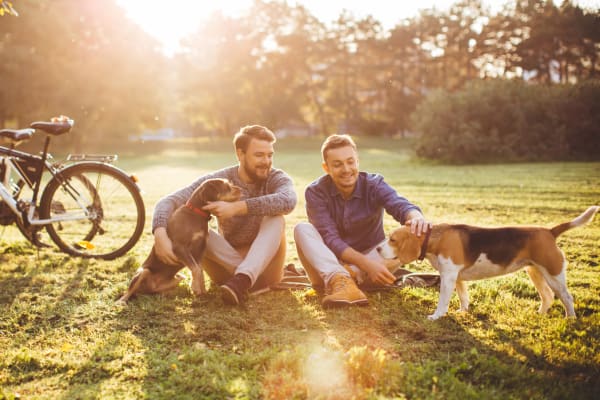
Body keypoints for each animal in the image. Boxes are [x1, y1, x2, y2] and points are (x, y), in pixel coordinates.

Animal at [380, 208, 596, 320]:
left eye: (393, 240)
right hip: (535, 271)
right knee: (548, 296)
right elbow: (463, 297)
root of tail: (550, 231)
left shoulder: (448, 277)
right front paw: (463, 311)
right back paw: (540, 314)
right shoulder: (457, 278)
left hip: (553, 273)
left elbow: (443, 301)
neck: (434, 238)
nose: (378, 249)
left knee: (567, 297)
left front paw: (436, 316)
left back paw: (570, 319)